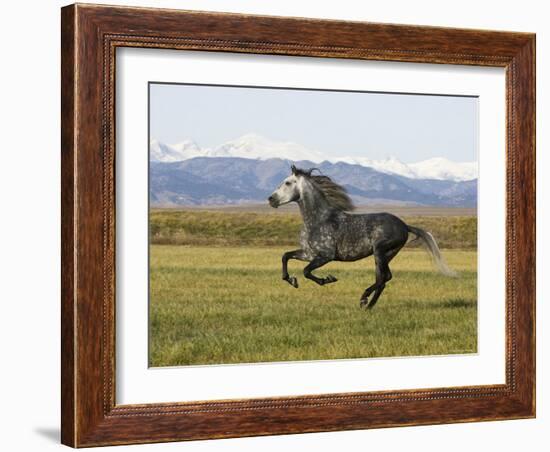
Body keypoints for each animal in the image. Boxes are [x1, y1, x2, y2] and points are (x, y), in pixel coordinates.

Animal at [268, 164, 458, 308]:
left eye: (287, 182)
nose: (271, 199)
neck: (319, 219)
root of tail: (404, 226)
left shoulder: (326, 256)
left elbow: (306, 271)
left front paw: (328, 279)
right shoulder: (309, 253)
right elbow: (285, 256)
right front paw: (292, 280)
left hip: (380, 251)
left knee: (383, 278)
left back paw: (364, 300)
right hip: (385, 255)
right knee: (384, 278)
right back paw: (367, 303)